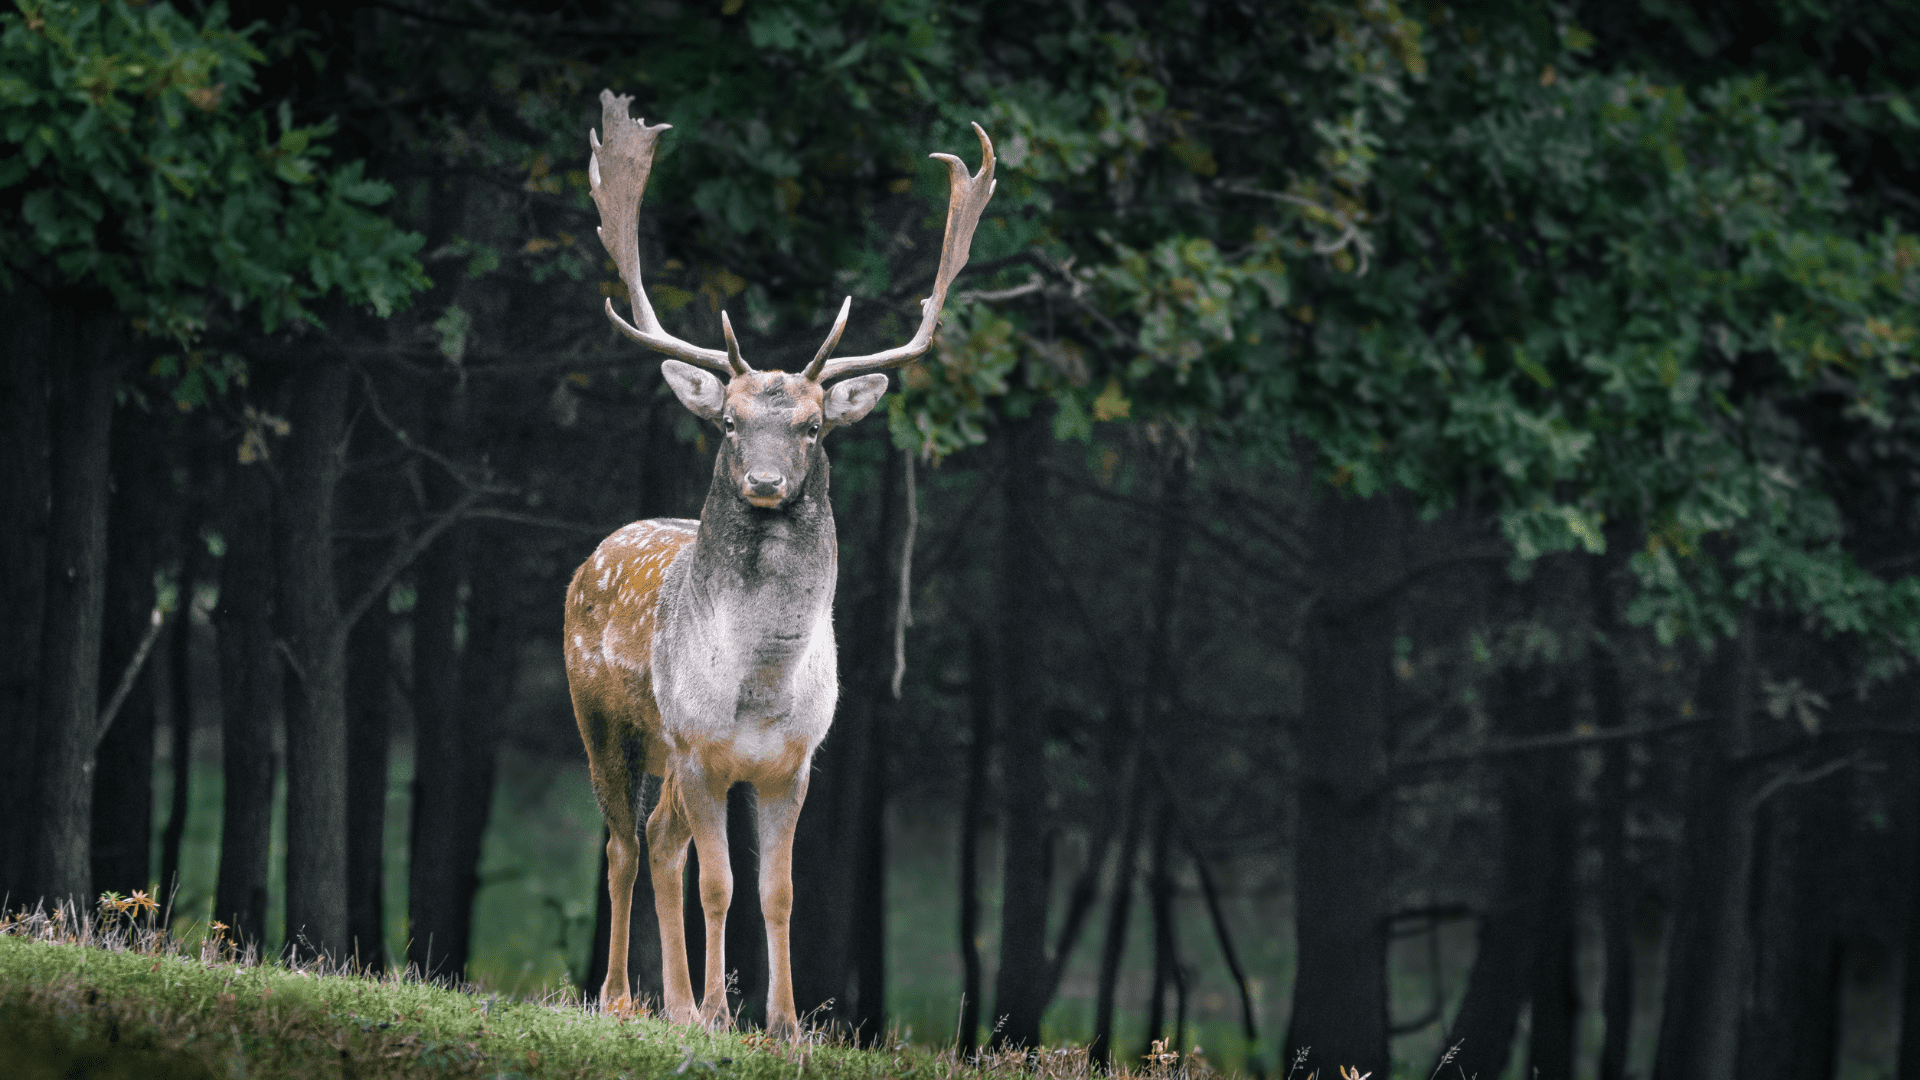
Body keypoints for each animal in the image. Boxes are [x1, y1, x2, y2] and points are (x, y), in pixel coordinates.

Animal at [560, 88, 998, 1030]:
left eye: (813, 426)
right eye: (728, 421)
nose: (764, 481)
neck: (759, 687)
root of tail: (594, 556)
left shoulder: (794, 762)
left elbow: (779, 891)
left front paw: (783, 1022)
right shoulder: (699, 747)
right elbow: (720, 885)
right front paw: (724, 1014)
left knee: (658, 842)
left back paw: (675, 1004)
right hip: (606, 722)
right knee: (622, 844)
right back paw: (622, 1000)